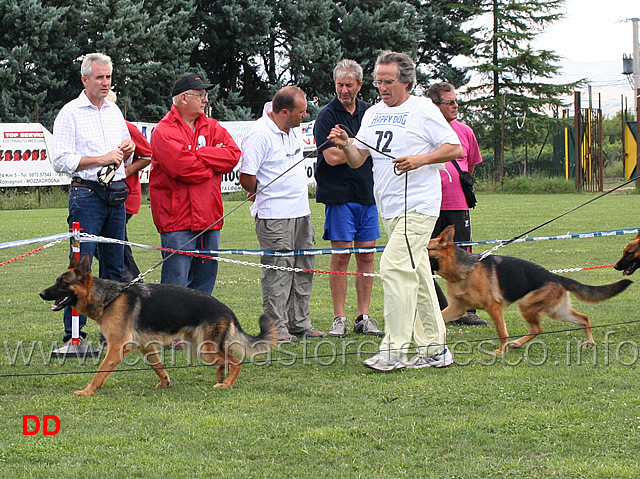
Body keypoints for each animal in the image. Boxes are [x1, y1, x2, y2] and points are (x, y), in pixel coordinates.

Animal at [41, 253, 276, 396]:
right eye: (57, 281)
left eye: (62, 283)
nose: (41, 293)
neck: (109, 298)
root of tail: (227, 309)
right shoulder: (146, 346)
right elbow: (158, 366)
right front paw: (164, 382)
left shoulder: (116, 347)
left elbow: (100, 373)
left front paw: (87, 391)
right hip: (198, 348)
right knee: (226, 358)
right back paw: (220, 375)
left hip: (204, 349)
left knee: (236, 361)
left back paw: (227, 383)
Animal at [428, 226, 632, 356]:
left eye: (427, 248)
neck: (462, 270)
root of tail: (557, 277)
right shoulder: (457, 308)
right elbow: (440, 317)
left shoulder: (493, 307)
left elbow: (502, 331)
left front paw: (501, 351)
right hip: (557, 312)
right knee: (583, 318)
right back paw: (588, 341)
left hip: (527, 305)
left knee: (538, 328)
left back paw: (517, 342)